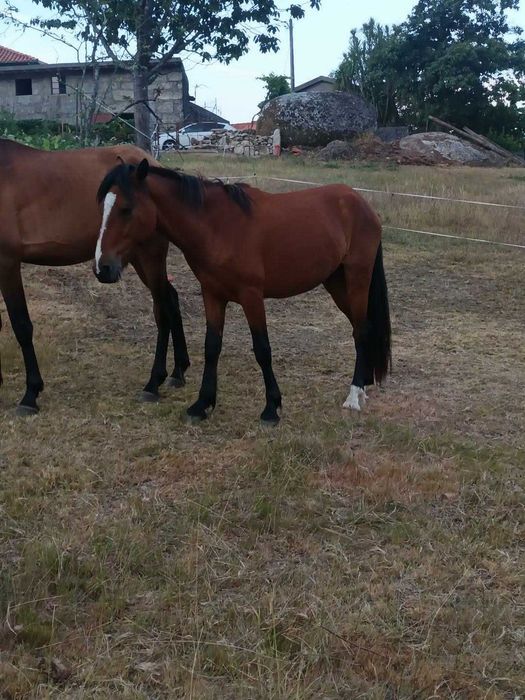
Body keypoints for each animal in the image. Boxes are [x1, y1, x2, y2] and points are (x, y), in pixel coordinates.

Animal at [0, 140, 190, 415]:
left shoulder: (8, 262)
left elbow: (21, 325)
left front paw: (30, 394)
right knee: (171, 300)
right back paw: (178, 371)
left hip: (149, 255)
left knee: (163, 308)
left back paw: (154, 382)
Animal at [93, 159, 391, 425]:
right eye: (103, 208)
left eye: (126, 209)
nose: (102, 268)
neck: (218, 227)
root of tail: (361, 202)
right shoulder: (212, 295)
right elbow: (212, 346)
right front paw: (201, 405)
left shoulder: (251, 297)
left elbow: (262, 349)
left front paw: (271, 408)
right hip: (336, 282)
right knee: (361, 328)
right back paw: (364, 385)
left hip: (357, 278)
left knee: (361, 330)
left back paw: (353, 396)